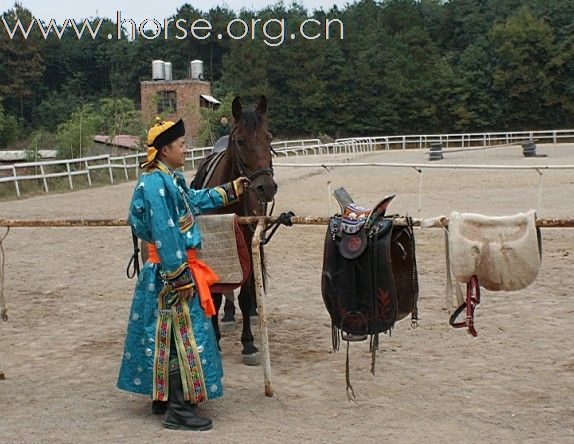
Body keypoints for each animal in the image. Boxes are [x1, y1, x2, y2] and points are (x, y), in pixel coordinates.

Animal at [192, 96, 278, 364]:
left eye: (268, 138)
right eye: (240, 141)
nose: (265, 187)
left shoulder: (248, 244)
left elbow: (246, 293)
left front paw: (248, 343)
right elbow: (216, 294)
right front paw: (216, 339)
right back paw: (228, 314)